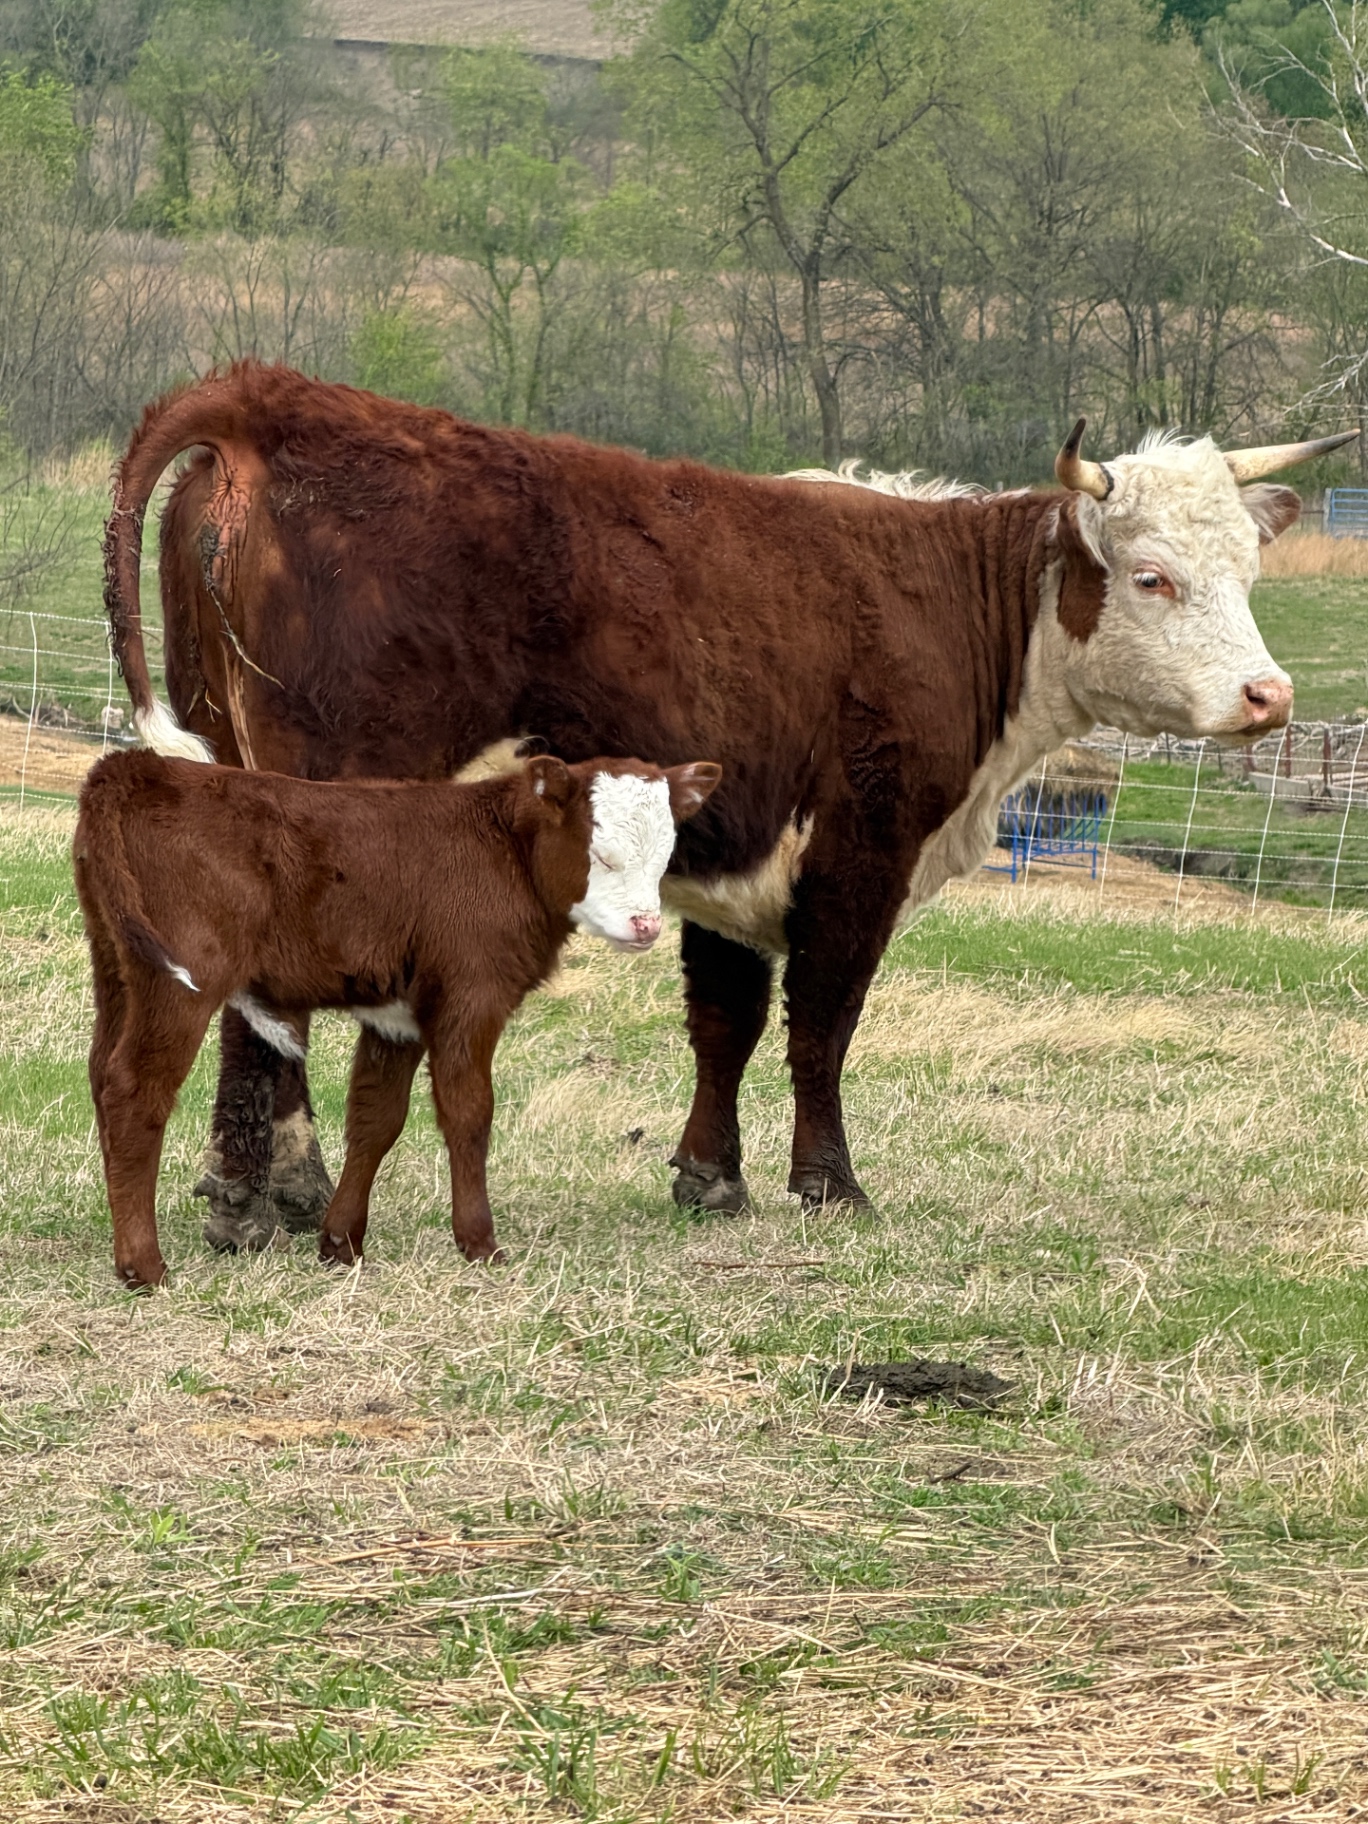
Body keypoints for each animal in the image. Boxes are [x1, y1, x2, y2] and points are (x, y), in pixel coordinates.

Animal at [74, 747, 722, 1287]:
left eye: (664, 858)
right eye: (603, 855)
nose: (647, 926)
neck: (504, 848)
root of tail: (134, 766)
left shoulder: (398, 1015)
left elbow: (375, 1118)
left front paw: (341, 1244)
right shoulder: (471, 996)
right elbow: (468, 1113)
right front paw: (480, 1243)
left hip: (116, 965)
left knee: (102, 1073)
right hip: (179, 980)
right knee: (136, 1090)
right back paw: (143, 1265)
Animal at [101, 360, 1351, 1250]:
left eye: (1247, 572)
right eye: (1152, 576)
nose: (1270, 696)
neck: (945, 597)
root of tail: (280, 398)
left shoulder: (731, 840)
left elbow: (726, 1019)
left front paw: (712, 1176)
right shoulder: (862, 849)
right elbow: (824, 1021)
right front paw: (831, 1184)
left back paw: (252, 1191)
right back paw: (269, 1192)